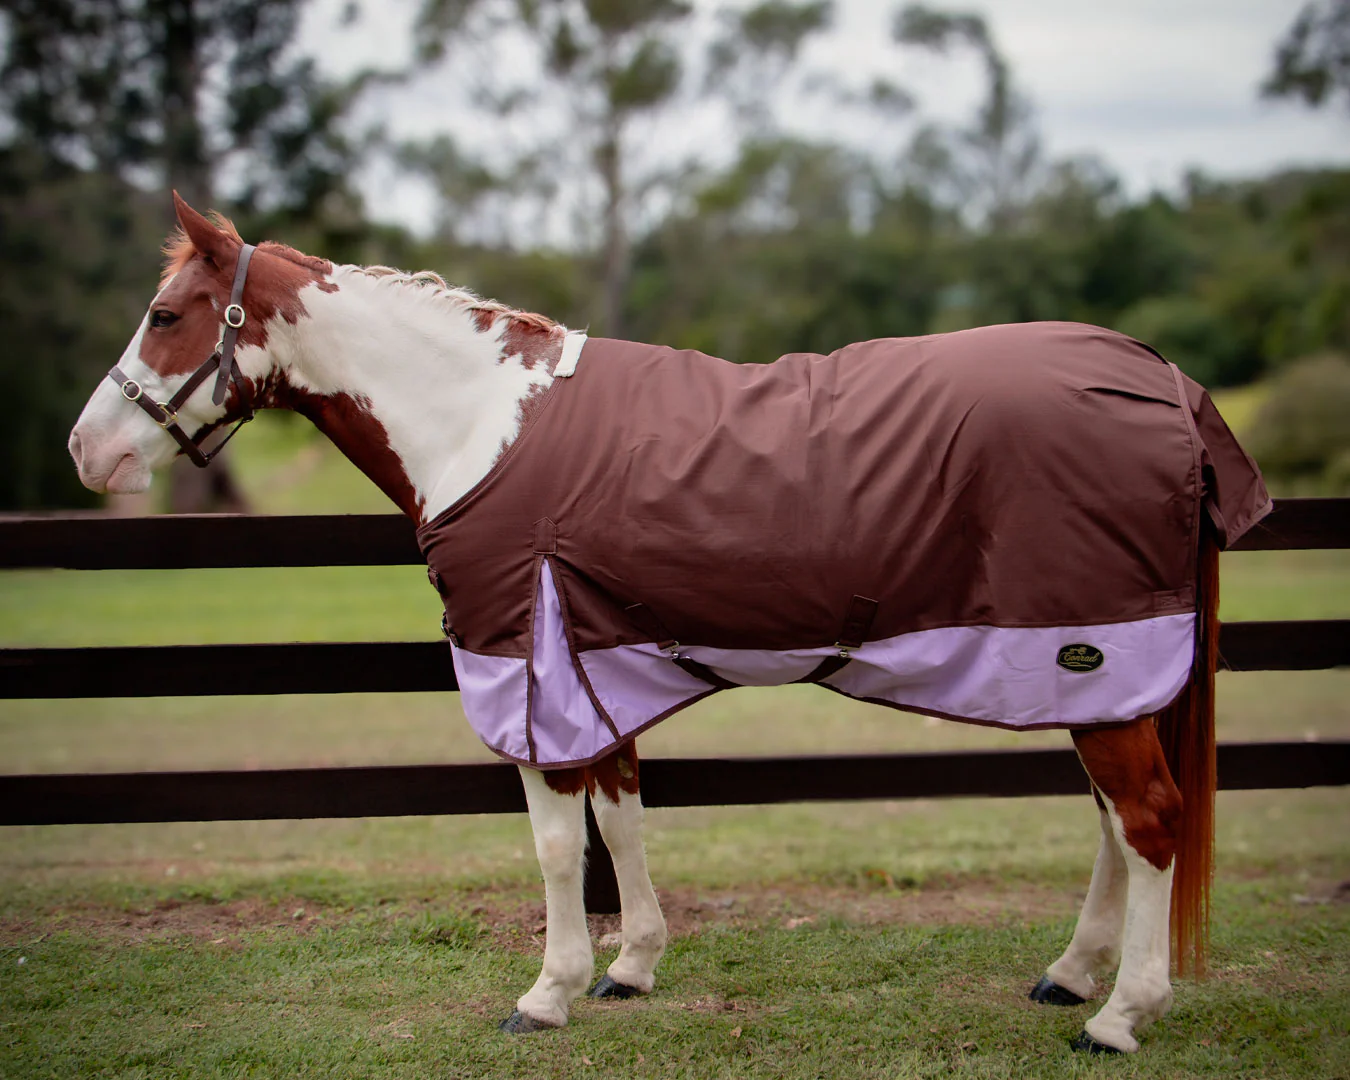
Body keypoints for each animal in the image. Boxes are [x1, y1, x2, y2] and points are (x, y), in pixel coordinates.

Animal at [69, 194, 1270, 1055]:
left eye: (165, 315)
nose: (89, 452)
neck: (478, 424)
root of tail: (1164, 381)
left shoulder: (530, 673)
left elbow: (559, 843)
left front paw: (546, 992)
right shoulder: (597, 665)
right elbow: (622, 816)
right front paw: (631, 966)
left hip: (1094, 664)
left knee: (1150, 820)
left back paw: (1118, 1015)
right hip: (1093, 679)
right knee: (1118, 823)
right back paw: (1070, 974)